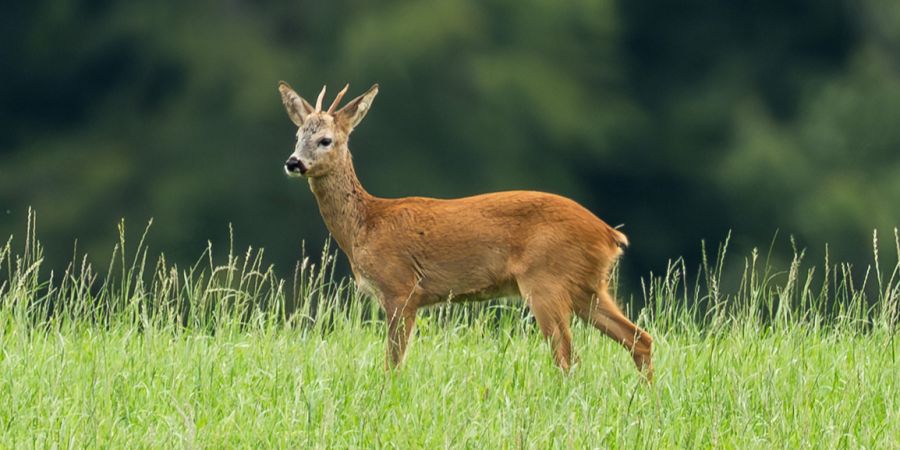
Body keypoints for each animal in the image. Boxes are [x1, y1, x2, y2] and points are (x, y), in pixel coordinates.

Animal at [278, 81, 653, 381]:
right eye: (297, 136)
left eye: (326, 140)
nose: (293, 162)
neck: (365, 226)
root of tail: (610, 235)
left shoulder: (401, 289)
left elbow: (393, 363)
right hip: (588, 286)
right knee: (640, 339)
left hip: (546, 281)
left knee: (568, 357)